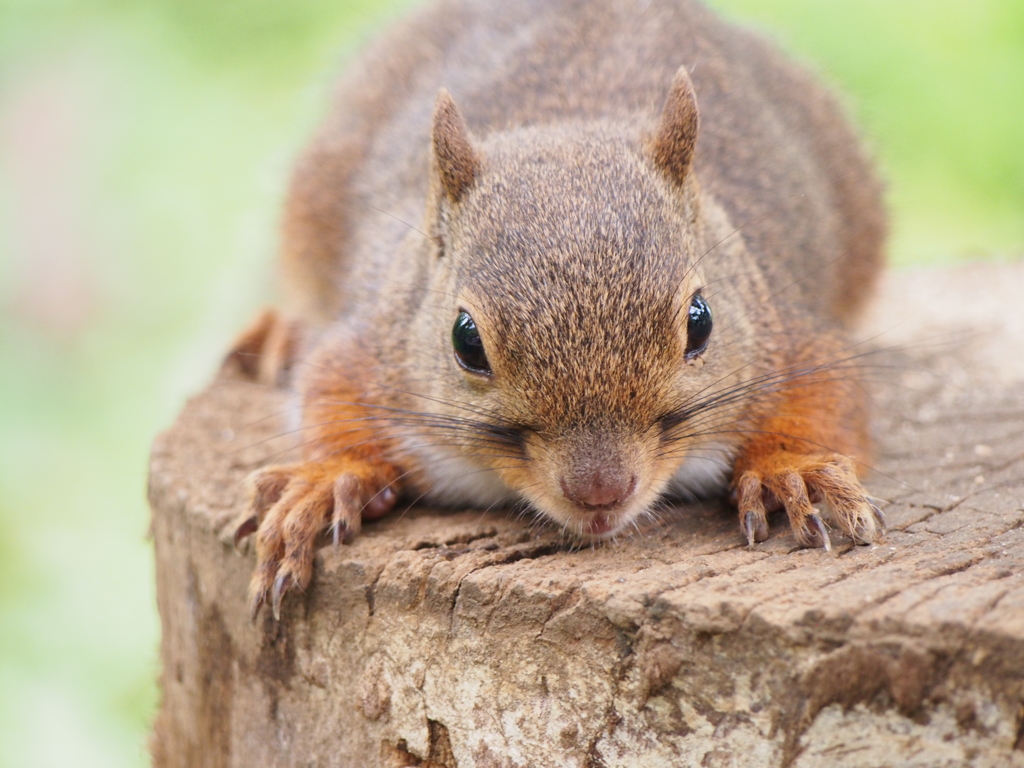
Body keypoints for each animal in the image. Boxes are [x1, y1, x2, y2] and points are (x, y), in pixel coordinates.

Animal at [228, 0, 884, 618]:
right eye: (465, 340)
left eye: (701, 322)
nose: (601, 492)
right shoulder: (368, 346)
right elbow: (328, 391)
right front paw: (326, 482)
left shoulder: (792, 336)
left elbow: (828, 394)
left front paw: (792, 470)